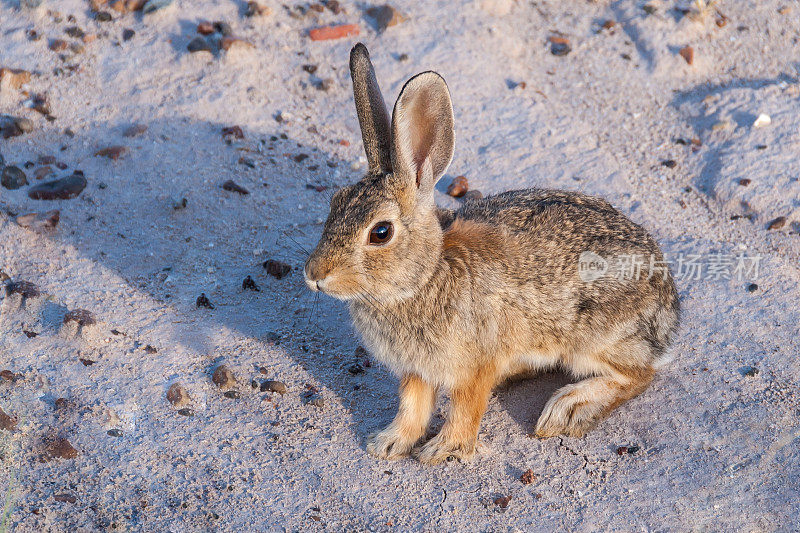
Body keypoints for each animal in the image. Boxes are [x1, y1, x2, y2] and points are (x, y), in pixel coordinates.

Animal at [304, 43, 680, 464]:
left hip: (594, 338)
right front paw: (388, 443)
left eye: (380, 232)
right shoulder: (417, 371)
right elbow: (412, 407)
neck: (424, 276)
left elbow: (466, 409)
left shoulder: (474, 365)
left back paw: (567, 410)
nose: (314, 274)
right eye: (335, 202)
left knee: (639, 375)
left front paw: (443, 450)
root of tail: (668, 308)